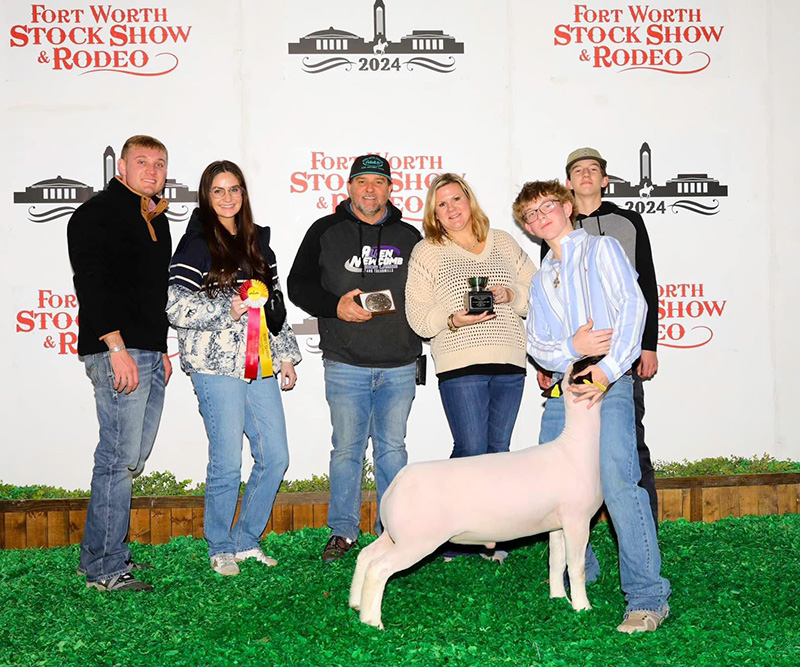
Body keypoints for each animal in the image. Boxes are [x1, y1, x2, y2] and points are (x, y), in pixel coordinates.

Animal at [349, 364, 604, 629]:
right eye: (588, 366)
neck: (574, 448)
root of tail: (397, 483)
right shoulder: (577, 520)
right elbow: (576, 567)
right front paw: (582, 608)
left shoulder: (557, 524)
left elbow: (556, 562)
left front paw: (558, 599)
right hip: (416, 541)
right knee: (379, 568)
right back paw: (372, 622)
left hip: (395, 535)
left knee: (366, 556)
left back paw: (356, 605)